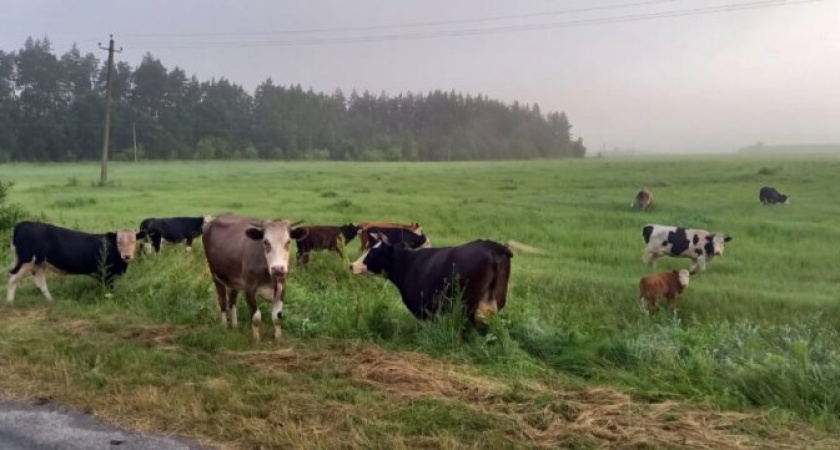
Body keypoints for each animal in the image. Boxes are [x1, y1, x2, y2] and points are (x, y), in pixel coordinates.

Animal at [6, 221, 144, 302]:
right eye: (119, 241)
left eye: (134, 241)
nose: (127, 255)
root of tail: (23, 224)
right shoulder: (107, 275)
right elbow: (108, 290)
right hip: (26, 261)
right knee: (12, 279)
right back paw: (10, 302)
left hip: (39, 263)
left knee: (40, 283)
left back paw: (51, 300)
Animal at [202, 214, 306, 342]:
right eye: (266, 242)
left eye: (288, 242)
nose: (278, 269)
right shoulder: (250, 288)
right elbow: (256, 317)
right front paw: (256, 339)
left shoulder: (282, 287)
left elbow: (277, 317)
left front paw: (278, 338)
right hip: (215, 274)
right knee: (222, 300)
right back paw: (224, 325)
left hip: (234, 280)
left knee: (232, 301)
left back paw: (235, 325)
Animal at [348, 236, 512, 330]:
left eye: (372, 253)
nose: (351, 265)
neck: (408, 264)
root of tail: (494, 247)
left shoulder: (424, 309)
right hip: (495, 300)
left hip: (468, 305)